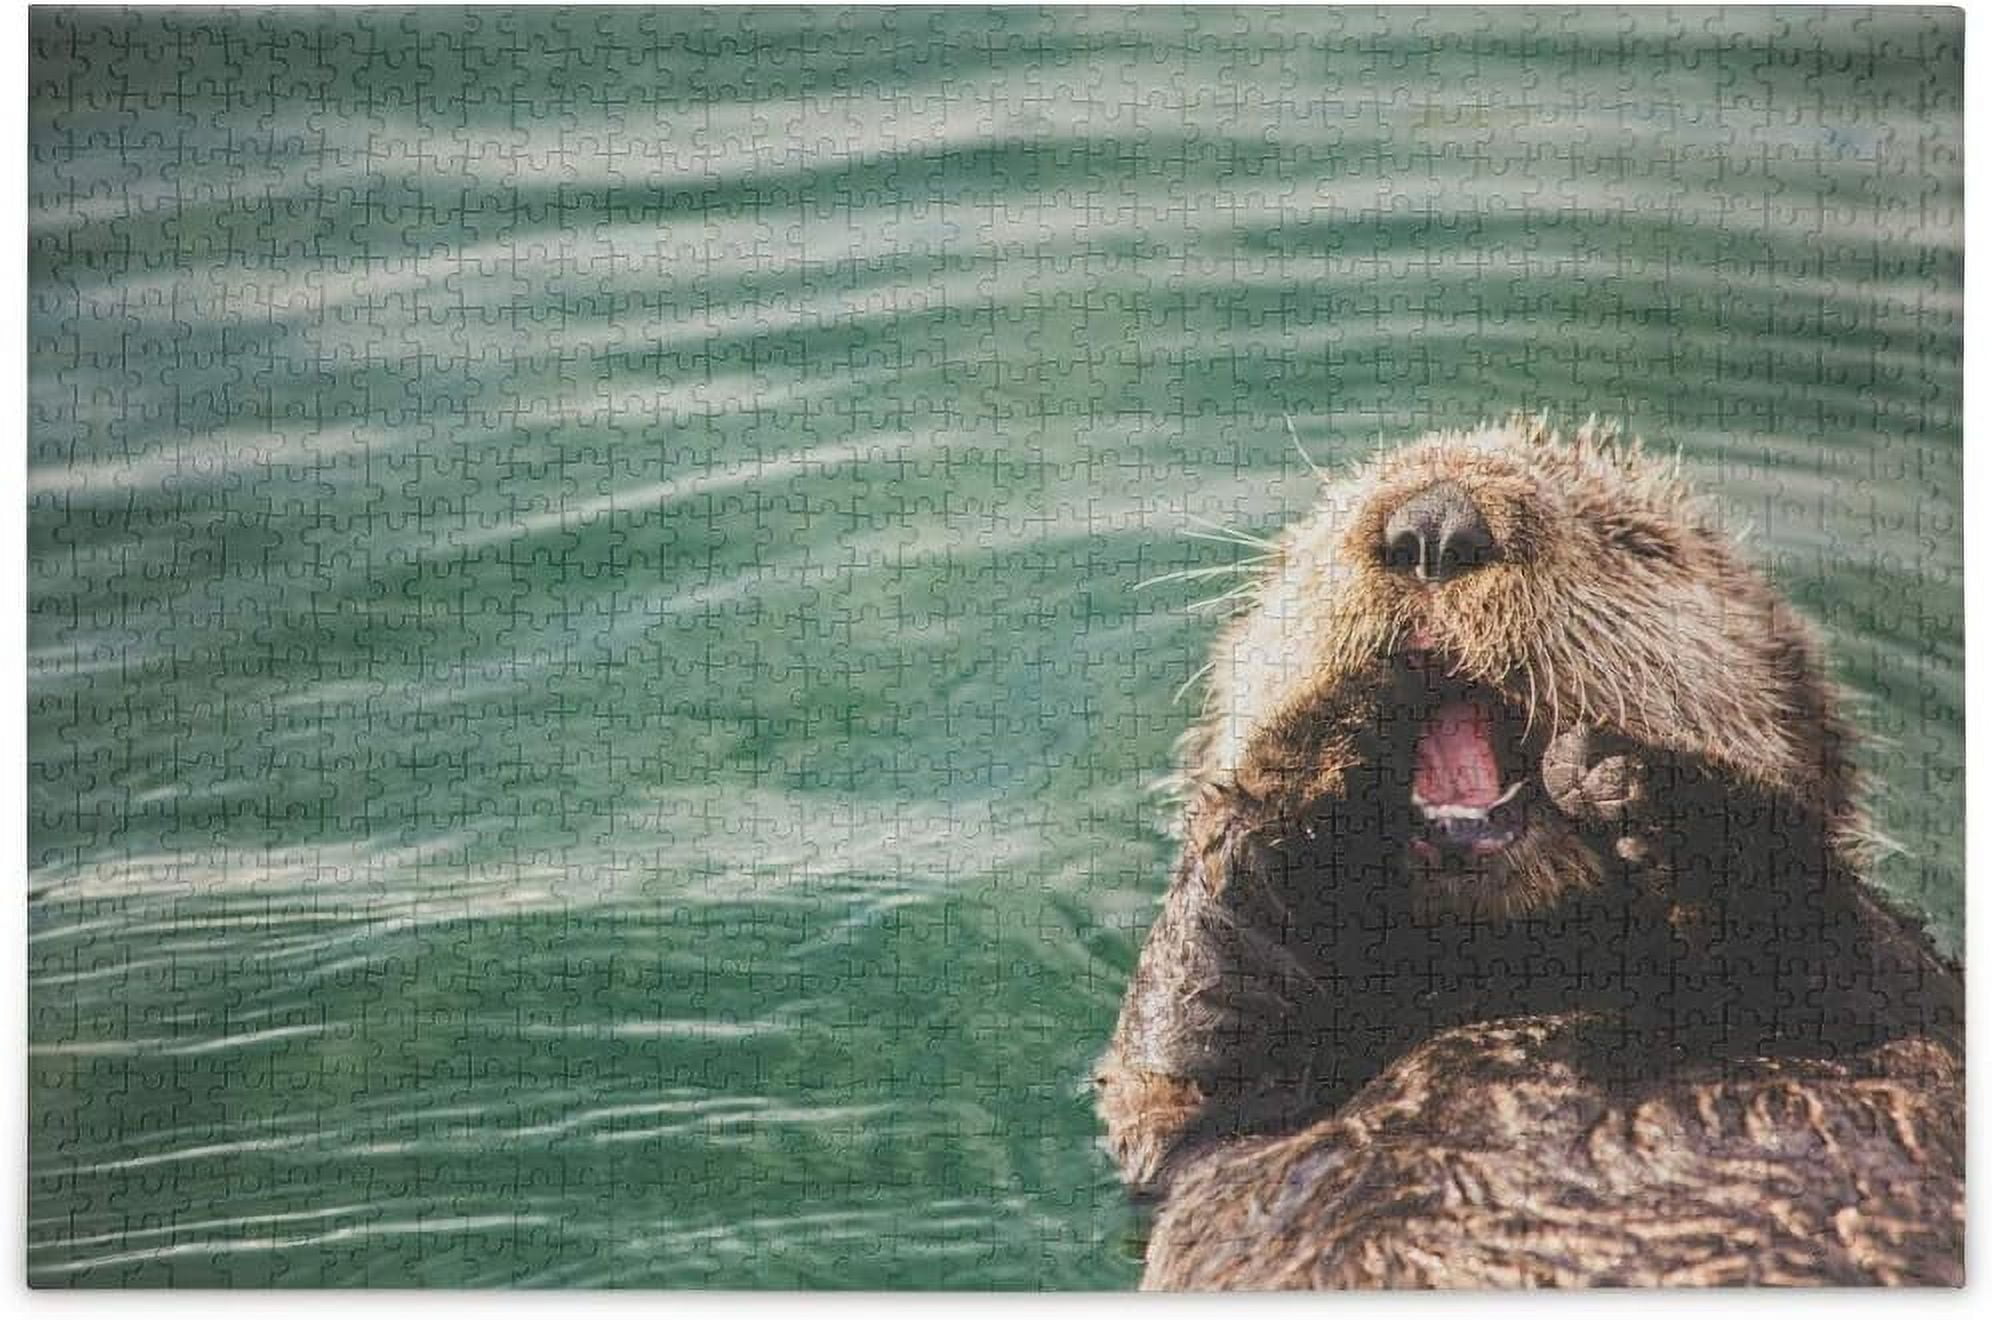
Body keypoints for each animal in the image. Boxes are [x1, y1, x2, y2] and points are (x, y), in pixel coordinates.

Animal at [1097, 417, 1962, 1288]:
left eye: (1637, 542)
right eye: (1305, 540)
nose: (1435, 524)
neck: (1514, 980)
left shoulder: (1911, 994)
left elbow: (1872, 965)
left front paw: (1636, 779)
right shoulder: (1196, 1108)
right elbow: (1182, 1039)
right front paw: (1332, 729)